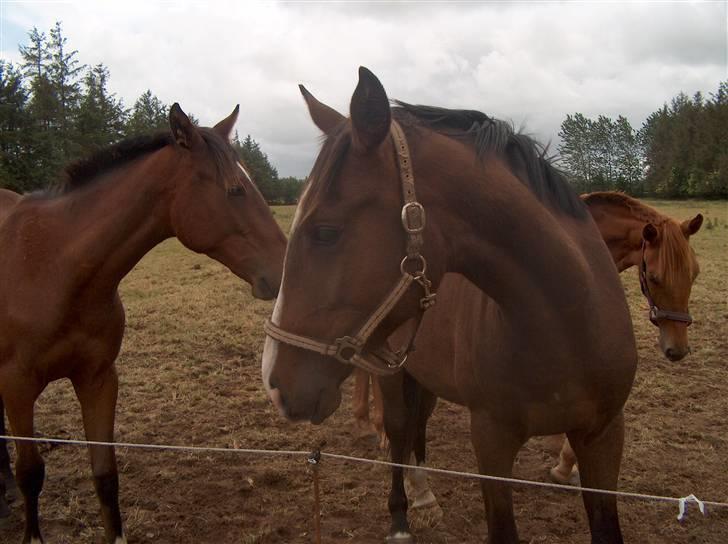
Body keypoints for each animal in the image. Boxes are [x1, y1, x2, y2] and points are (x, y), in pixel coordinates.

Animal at [0, 103, 288, 544]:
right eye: (235, 189)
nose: (286, 268)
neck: (52, 265)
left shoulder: (98, 378)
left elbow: (105, 474)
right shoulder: (17, 387)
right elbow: (30, 474)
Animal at [262, 68, 636, 544]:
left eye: (325, 231)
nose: (274, 382)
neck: (568, 323)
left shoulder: (603, 436)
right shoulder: (492, 441)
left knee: (418, 427)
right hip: (394, 376)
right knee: (400, 432)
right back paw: (402, 516)